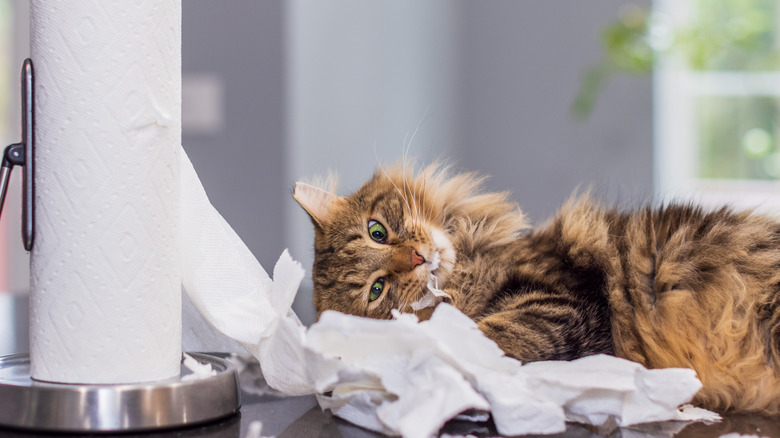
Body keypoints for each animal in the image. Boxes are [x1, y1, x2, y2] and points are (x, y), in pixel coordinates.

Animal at [290, 163, 780, 414]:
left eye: (377, 232)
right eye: (378, 290)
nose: (416, 258)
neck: (472, 263)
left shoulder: (562, 297)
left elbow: (483, 334)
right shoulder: (561, 306)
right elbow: (475, 339)